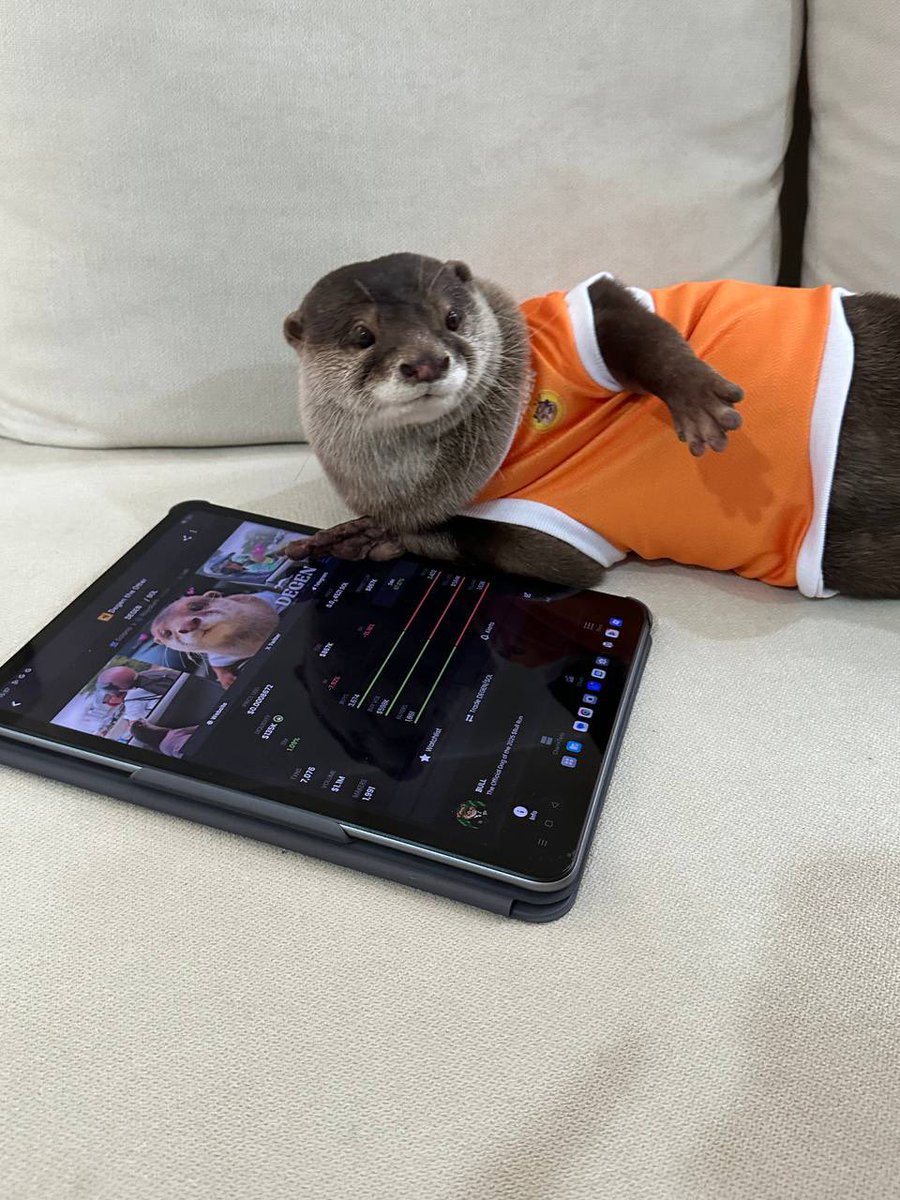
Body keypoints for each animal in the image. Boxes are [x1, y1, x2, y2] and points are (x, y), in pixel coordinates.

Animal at [280, 252, 900, 599]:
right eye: (363, 335)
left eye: (451, 317)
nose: (427, 361)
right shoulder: (546, 532)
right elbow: (477, 540)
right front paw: (359, 536)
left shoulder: (581, 317)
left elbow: (625, 317)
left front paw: (695, 396)